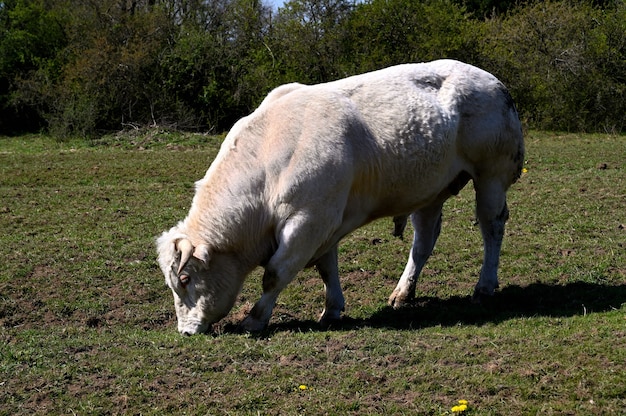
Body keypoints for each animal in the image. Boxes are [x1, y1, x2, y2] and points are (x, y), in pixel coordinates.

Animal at [155, 59, 520, 334]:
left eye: (185, 278)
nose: (185, 331)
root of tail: (493, 81)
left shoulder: (308, 220)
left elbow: (275, 274)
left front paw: (255, 319)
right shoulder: (324, 222)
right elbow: (326, 268)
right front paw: (331, 310)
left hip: (491, 176)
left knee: (492, 227)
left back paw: (484, 286)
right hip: (429, 190)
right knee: (424, 241)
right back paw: (403, 293)